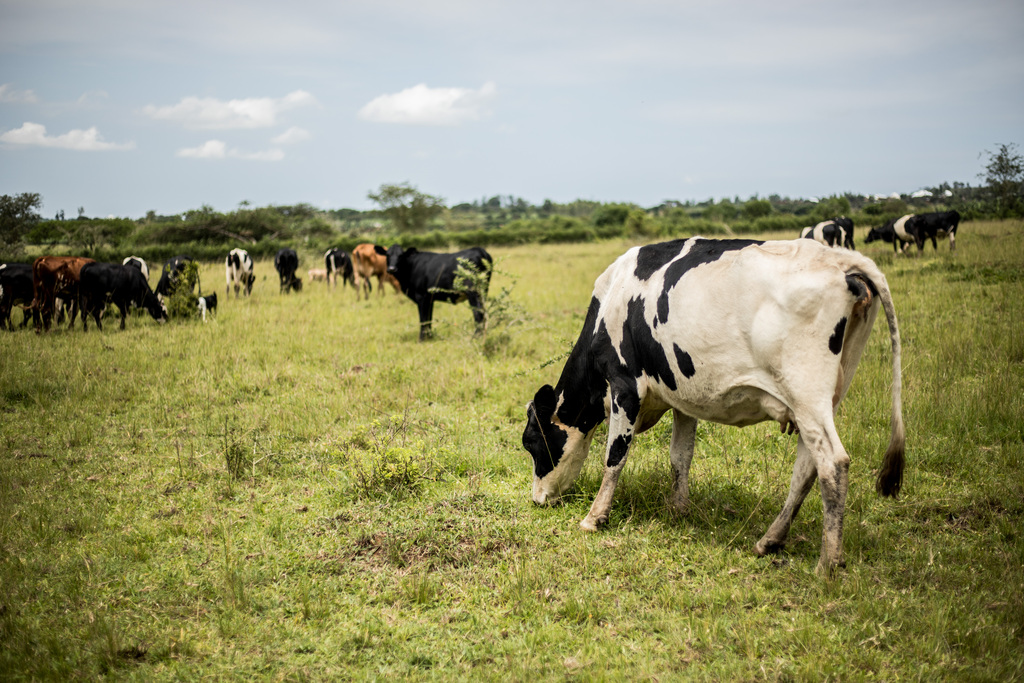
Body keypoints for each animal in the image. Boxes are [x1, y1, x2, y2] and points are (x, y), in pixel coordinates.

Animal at [521, 237, 905, 576]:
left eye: (531, 442)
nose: (538, 499)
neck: (613, 297)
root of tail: (840, 260)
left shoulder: (624, 385)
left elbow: (614, 456)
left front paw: (594, 517)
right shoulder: (681, 396)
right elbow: (680, 456)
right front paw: (678, 509)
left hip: (806, 394)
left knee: (833, 464)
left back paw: (828, 562)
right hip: (825, 397)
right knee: (807, 468)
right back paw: (770, 540)